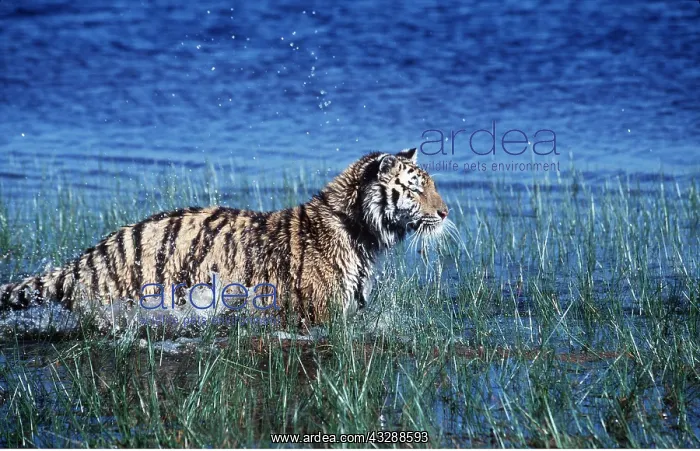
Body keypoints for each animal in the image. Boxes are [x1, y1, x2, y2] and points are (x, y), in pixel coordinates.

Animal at [0, 149, 449, 328]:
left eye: (432, 184)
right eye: (415, 190)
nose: (445, 212)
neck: (358, 227)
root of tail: (84, 260)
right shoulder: (320, 311)